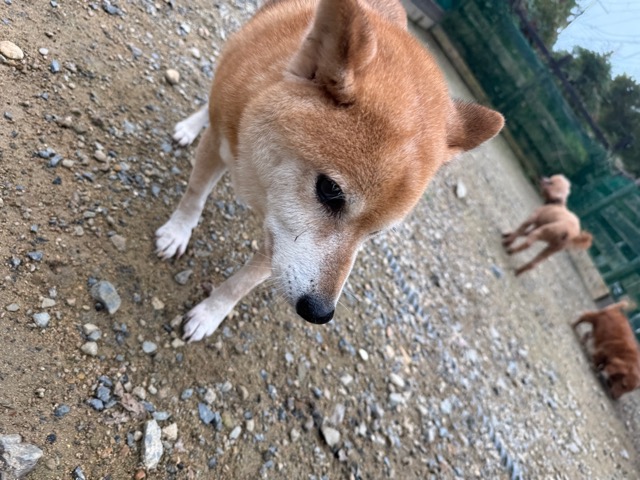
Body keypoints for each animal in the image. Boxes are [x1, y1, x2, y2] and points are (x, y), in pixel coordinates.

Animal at [156, 0, 504, 342]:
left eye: (376, 233)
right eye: (330, 191)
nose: (319, 313)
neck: (261, 178)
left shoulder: (283, 240)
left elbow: (242, 284)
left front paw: (210, 314)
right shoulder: (220, 143)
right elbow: (194, 194)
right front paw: (177, 232)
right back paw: (191, 126)